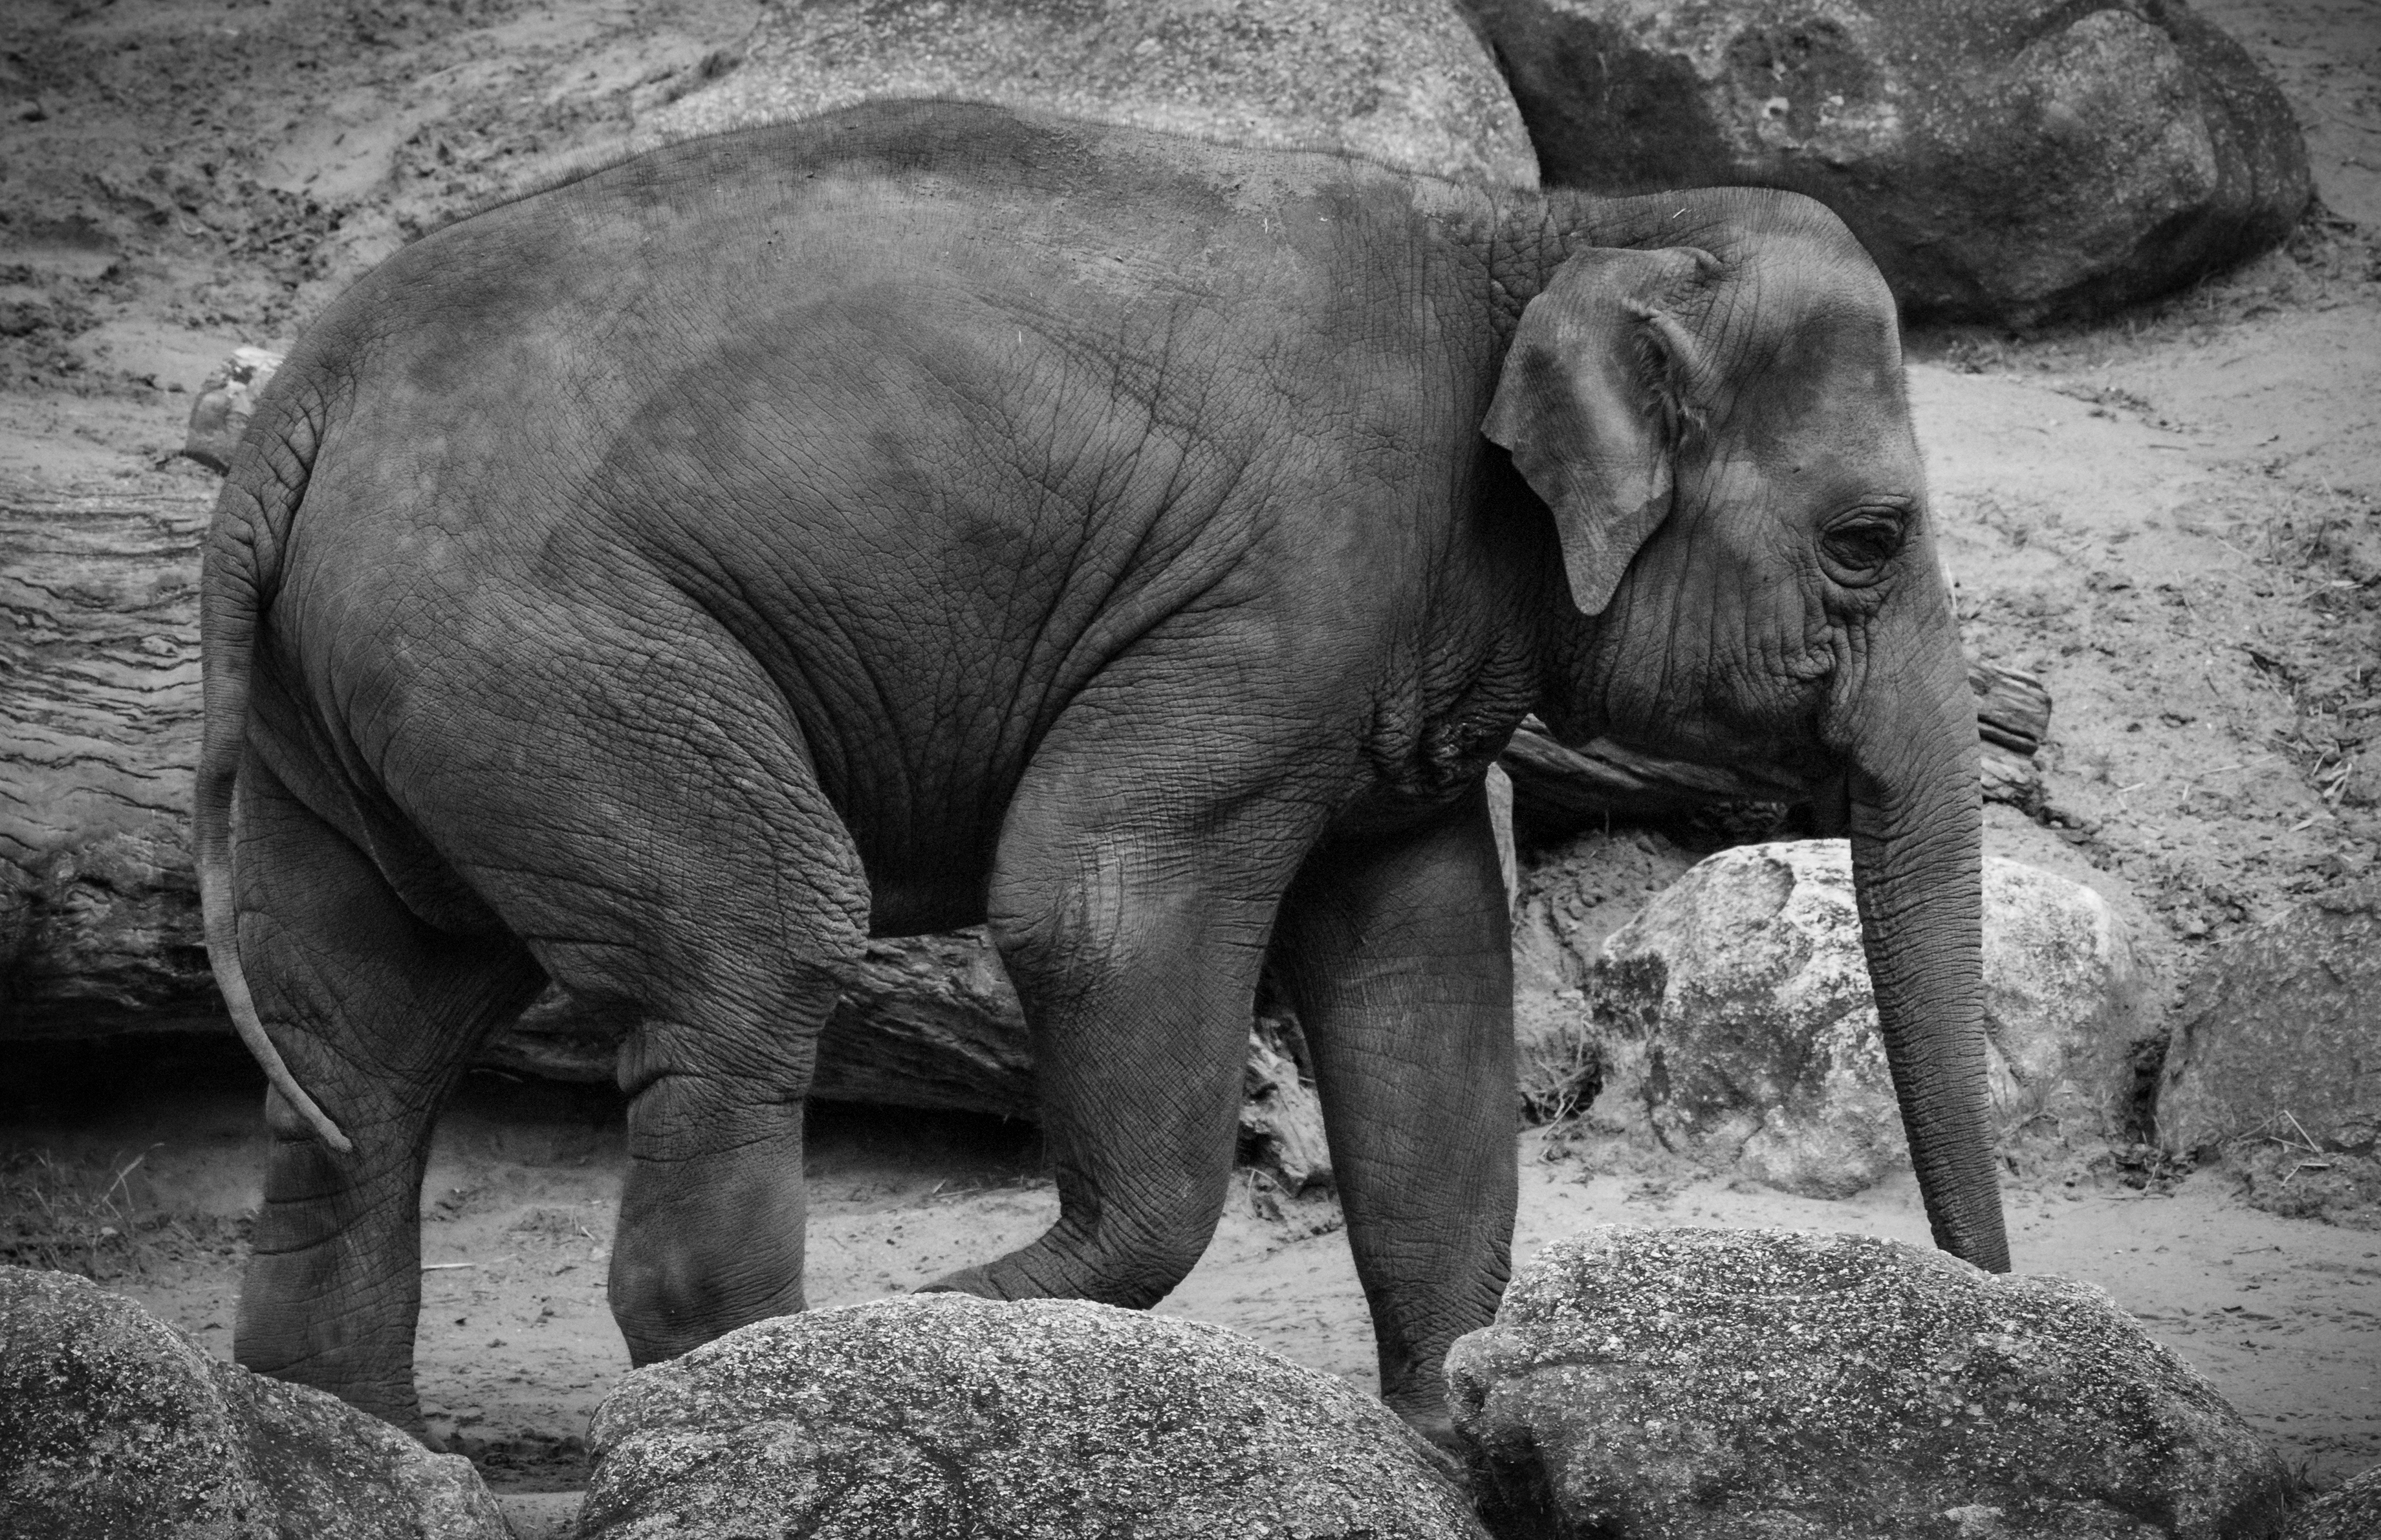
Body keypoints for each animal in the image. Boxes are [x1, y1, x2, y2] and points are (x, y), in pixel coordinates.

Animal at [195, 97, 2009, 1449]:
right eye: (1867, 542)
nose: (1998, 1312)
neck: (1542, 230)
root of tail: (304, 391)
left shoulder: (1379, 656)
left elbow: (1419, 969)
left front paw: (1452, 1434)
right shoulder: (1271, 596)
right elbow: (1092, 894)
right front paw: (947, 1323)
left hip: (375, 697)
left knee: (349, 1036)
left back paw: (356, 1449)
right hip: (550, 654)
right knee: (749, 946)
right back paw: (755, 1378)